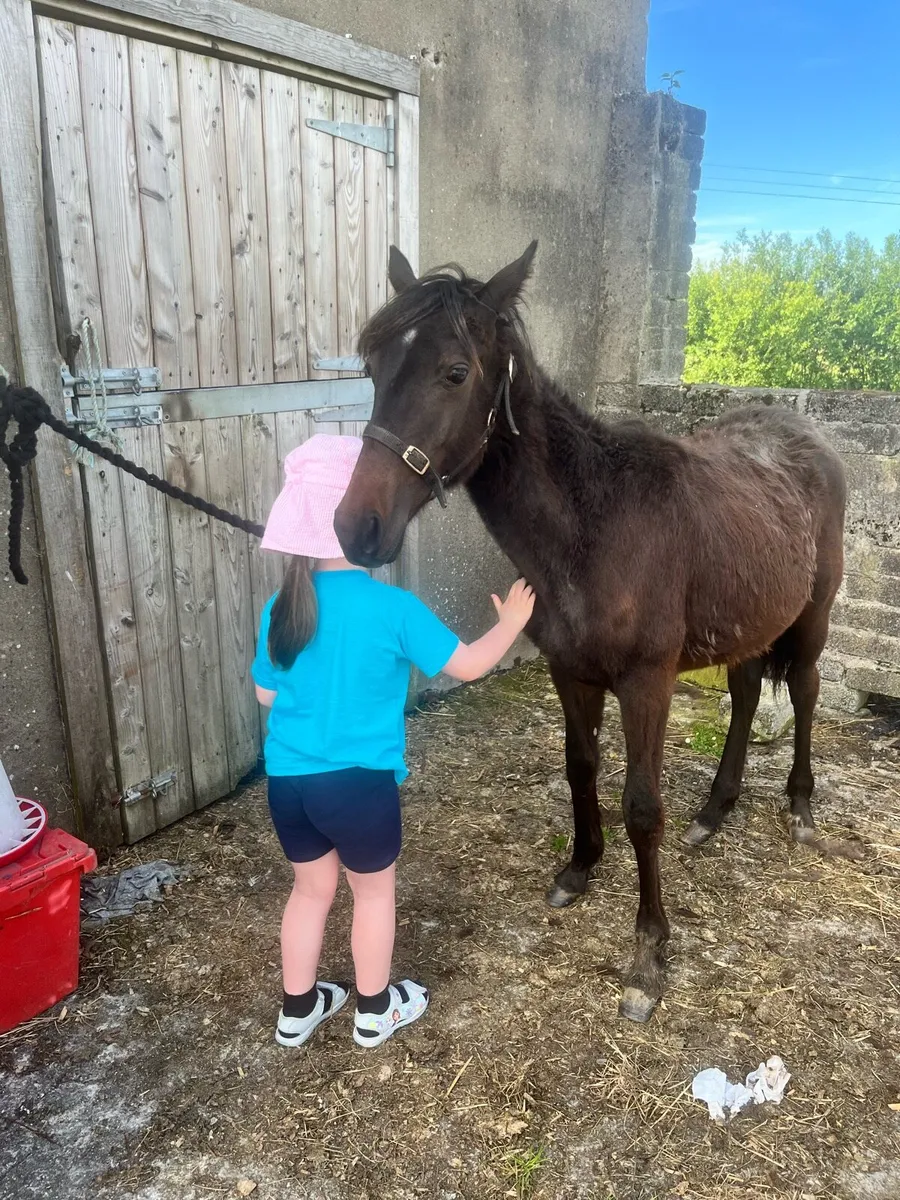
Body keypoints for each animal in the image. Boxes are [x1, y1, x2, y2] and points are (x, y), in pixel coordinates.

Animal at [334, 242, 847, 1022]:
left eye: (455, 372)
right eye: (373, 367)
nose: (355, 528)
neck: (596, 526)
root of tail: (811, 440)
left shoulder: (646, 683)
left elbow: (642, 808)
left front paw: (649, 957)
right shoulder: (568, 670)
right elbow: (580, 768)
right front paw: (578, 869)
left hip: (812, 618)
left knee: (808, 693)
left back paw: (801, 808)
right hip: (747, 621)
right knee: (747, 693)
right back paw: (715, 811)